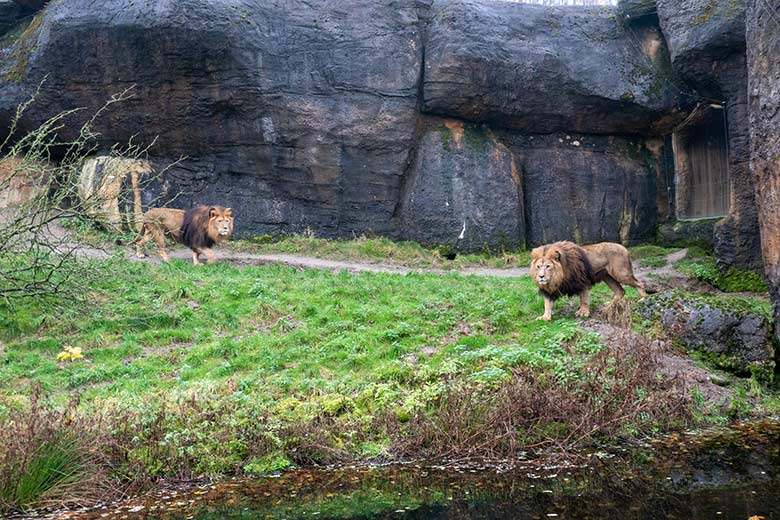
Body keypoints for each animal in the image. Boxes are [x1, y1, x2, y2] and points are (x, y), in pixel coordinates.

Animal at [532, 241, 660, 320]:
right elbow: (547, 304)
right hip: (608, 277)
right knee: (621, 291)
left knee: (640, 283)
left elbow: (584, 299)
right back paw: (608, 307)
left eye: (548, 266)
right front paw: (545, 317)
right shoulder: (549, 290)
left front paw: (583, 312)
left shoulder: (582, 282)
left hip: (621, 274)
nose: (541, 277)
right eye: (538, 267)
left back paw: (644, 299)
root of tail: (624, 248)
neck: (557, 278)